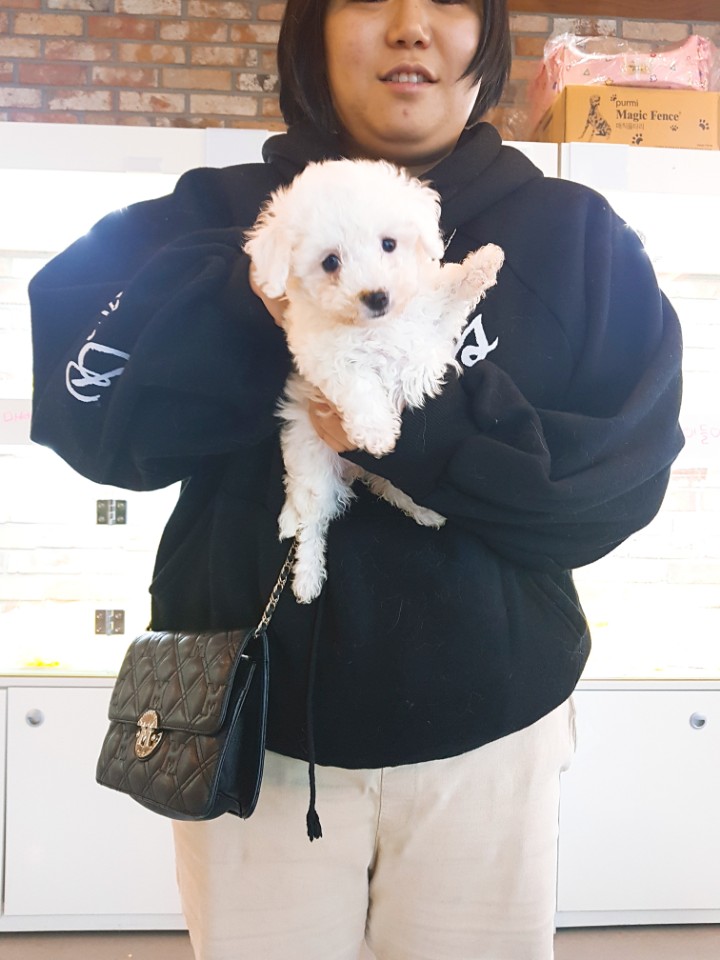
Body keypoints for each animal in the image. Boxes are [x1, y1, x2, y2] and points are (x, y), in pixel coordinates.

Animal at [245, 159, 504, 603]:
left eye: (388, 244)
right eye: (330, 262)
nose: (377, 296)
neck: (377, 326)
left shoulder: (431, 319)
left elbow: (449, 293)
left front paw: (484, 262)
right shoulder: (323, 356)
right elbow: (357, 383)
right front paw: (377, 431)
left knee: (396, 488)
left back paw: (426, 511)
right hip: (313, 468)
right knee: (312, 523)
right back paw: (307, 579)